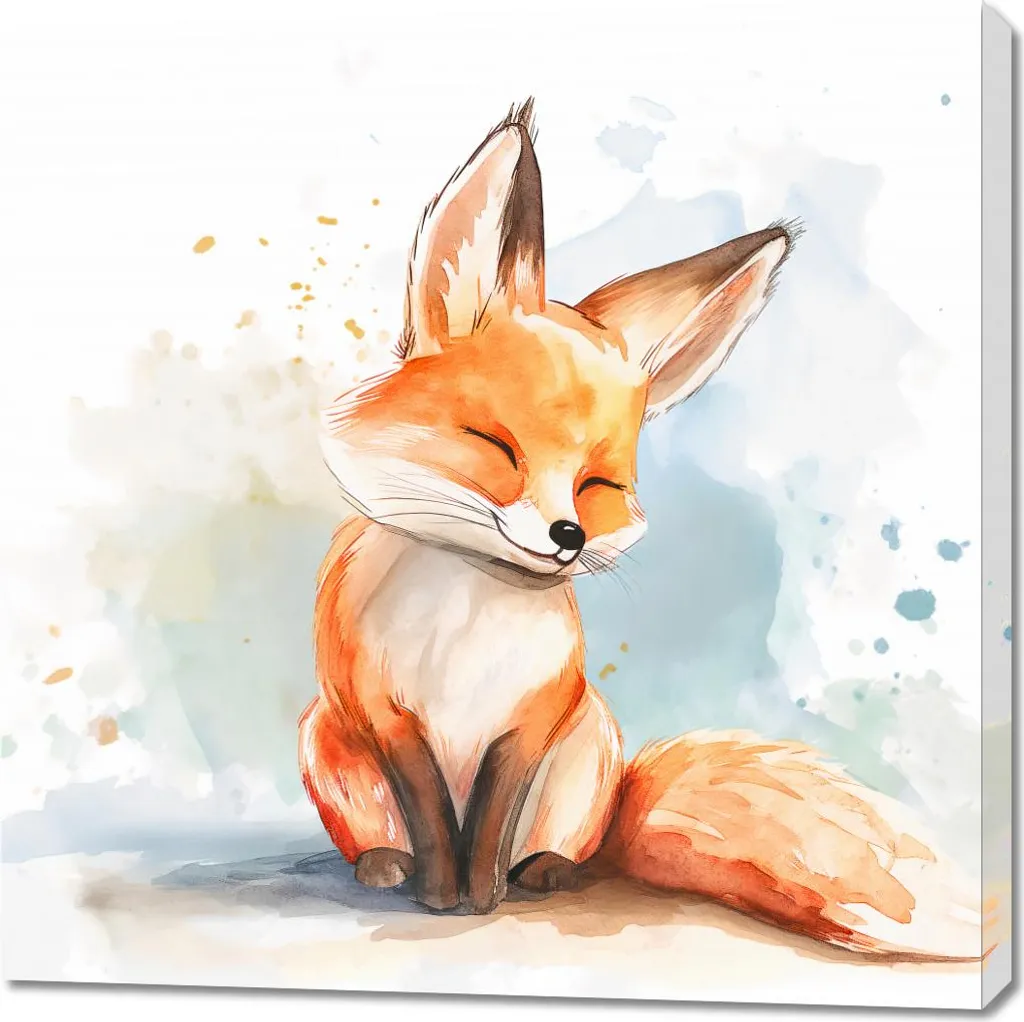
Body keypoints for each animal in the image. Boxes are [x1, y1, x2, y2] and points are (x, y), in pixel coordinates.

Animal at [299, 100, 986, 960]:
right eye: (496, 446)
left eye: (597, 485)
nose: (565, 534)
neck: (469, 608)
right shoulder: (387, 716)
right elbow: (431, 814)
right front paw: (440, 895)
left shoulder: (530, 720)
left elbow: (488, 822)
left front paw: (480, 897)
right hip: (326, 743)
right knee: (384, 836)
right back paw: (385, 867)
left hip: (589, 748)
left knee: (564, 850)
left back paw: (546, 873)